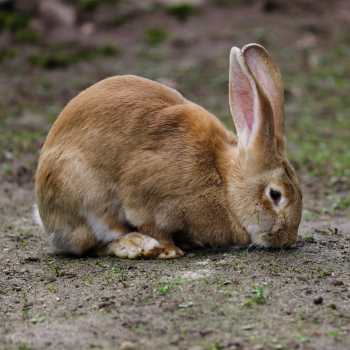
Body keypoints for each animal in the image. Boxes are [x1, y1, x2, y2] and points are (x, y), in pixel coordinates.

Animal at [36, 42, 304, 258]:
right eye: (275, 194)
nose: (286, 240)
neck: (225, 183)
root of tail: (46, 218)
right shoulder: (148, 200)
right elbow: (153, 225)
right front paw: (169, 250)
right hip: (84, 194)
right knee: (93, 243)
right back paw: (137, 245)